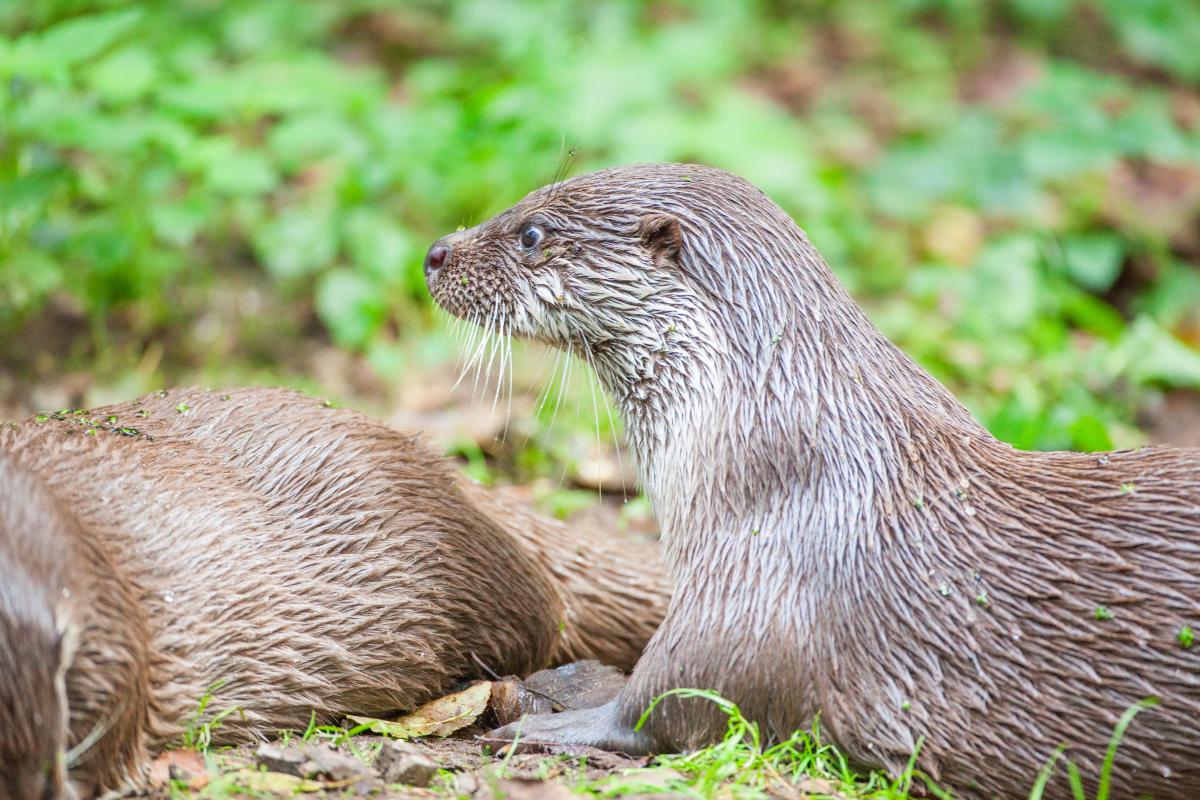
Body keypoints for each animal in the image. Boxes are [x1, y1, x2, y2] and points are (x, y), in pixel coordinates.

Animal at [425, 163, 1200, 799]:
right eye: (522, 203)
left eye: (531, 233)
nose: (436, 253)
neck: (773, 428)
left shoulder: (752, 581)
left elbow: (671, 698)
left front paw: (548, 723)